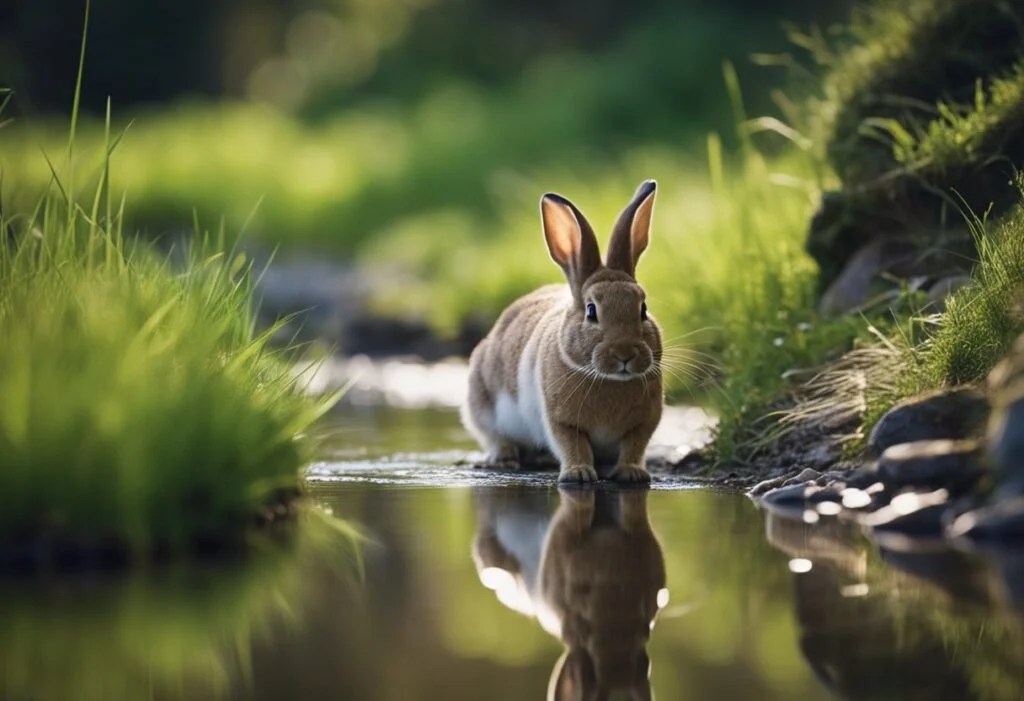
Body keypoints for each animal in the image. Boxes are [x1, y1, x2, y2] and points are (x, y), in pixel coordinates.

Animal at [461, 180, 664, 483]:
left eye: (643, 308)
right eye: (591, 311)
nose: (625, 353)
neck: (609, 379)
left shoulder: (643, 424)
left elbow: (633, 447)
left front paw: (632, 474)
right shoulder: (561, 421)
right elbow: (572, 445)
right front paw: (579, 474)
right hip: (482, 402)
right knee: (494, 436)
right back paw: (504, 458)